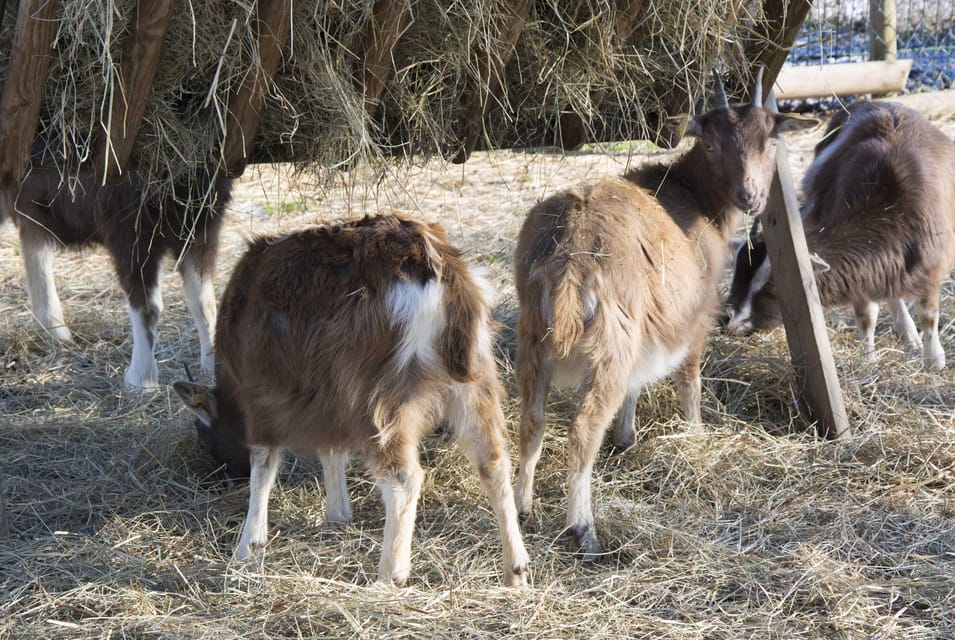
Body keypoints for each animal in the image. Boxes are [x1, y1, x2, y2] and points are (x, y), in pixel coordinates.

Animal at [0, 160, 232, 390]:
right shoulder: (129, 229)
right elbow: (148, 306)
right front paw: (142, 379)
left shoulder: (201, 226)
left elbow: (203, 302)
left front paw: (214, 366)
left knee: (34, 244)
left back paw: (52, 329)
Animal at [172, 214, 532, 584]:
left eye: (205, 439)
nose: (224, 481)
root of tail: (439, 268)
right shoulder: (328, 394)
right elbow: (331, 449)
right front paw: (337, 513)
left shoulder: (263, 396)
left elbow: (265, 461)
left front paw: (248, 546)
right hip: (475, 379)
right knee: (493, 462)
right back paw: (516, 569)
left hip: (377, 395)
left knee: (404, 477)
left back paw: (391, 574)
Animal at [512, 71, 816, 560]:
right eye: (710, 144)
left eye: (771, 141)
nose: (750, 196)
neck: (696, 199)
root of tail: (568, 254)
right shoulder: (697, 313)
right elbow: (689, 377)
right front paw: (695, 432)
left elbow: (637, 383)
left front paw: (627, 435)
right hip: (609, 339)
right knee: (582, 428)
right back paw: (584, 529)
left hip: (533, 334)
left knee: (532, 418)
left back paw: (523, 506)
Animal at [724, 100, 955, 370]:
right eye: (737, 270)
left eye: (772, 284)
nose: (728, 319)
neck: (891, 210)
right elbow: (866, 316)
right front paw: (869, 359)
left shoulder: (933, 267)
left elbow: (928, 315)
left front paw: (934, 360)